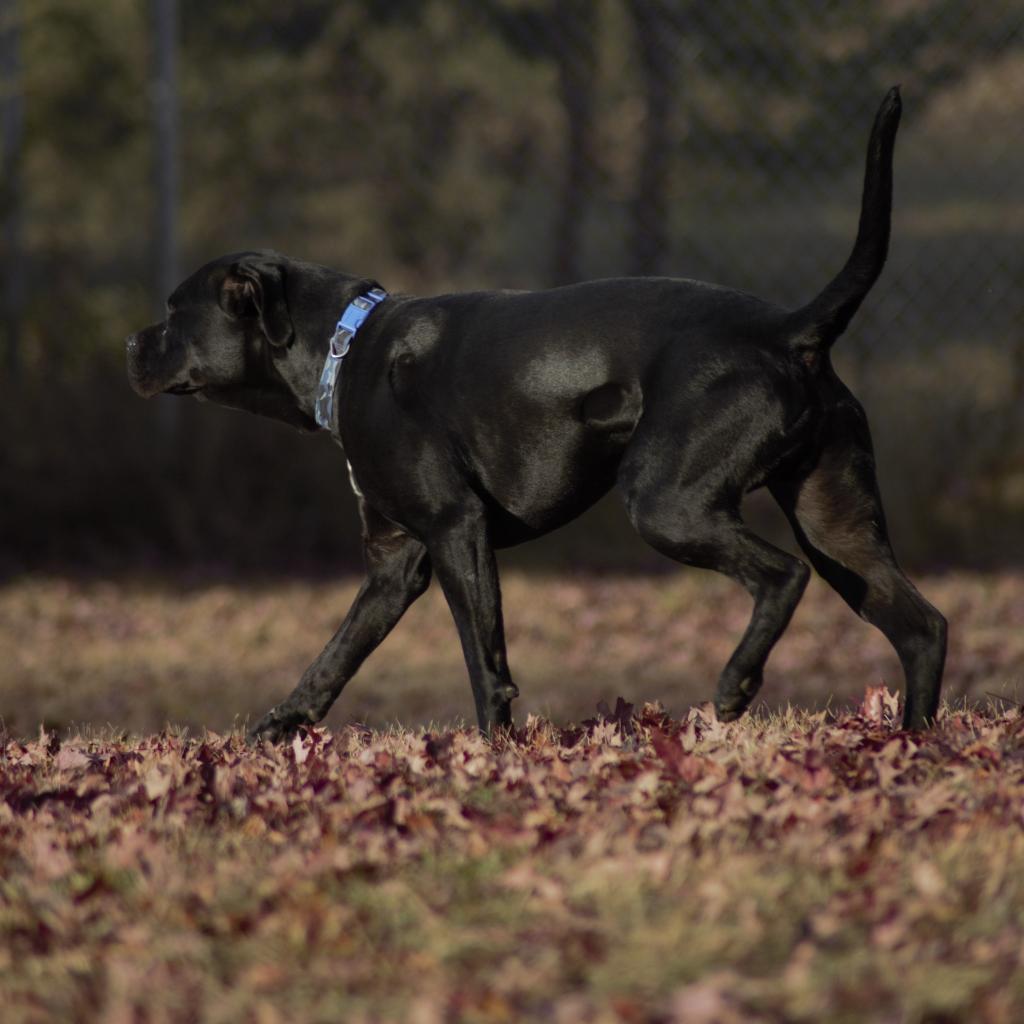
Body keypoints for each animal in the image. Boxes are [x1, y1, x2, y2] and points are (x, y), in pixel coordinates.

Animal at [125, 88, 942, 741]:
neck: (344, 346)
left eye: (174, 312)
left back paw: (736, 685)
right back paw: (913, 743)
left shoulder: (455, 530)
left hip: (669, 503)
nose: (130, 342)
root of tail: (788, 329)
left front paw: (495, 750)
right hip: (839, 527)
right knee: (921, 626)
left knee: (782, 577)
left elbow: (484, 656)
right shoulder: (393, 563)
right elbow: (334, 656)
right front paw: (279, 729)